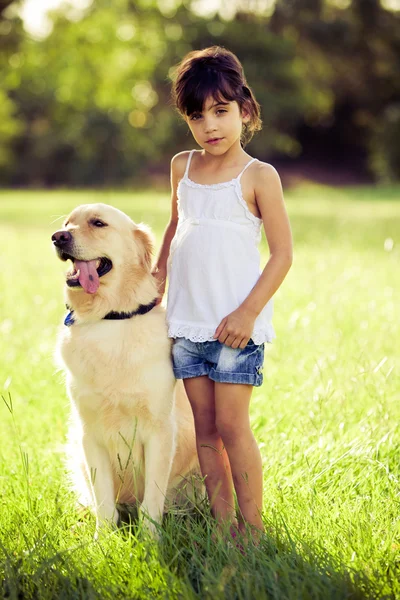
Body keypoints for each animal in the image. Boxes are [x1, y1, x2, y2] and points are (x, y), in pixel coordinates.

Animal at [52, 203, 202, 536]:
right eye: (67, 223)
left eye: (98, 223)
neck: (109, 317)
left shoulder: (160, 431)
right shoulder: (90, 433)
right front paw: (103, 541)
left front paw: (150, 540)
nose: (57, 237)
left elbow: (152, 502)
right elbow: (105, 503)